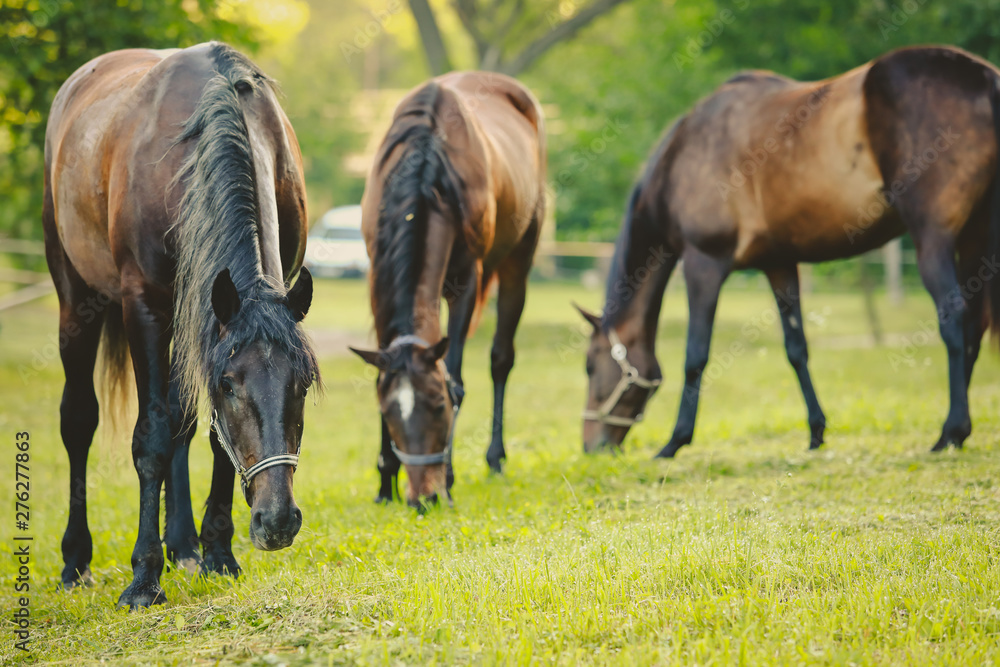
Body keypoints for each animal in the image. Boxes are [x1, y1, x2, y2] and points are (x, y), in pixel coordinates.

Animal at [43, 42, 319, 608]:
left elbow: (208, 436)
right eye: (230, 386)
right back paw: (75, 561)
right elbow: (150, 438)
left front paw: (217, 554)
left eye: (302, 385)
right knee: (79, 421)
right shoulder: (145, 307)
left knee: (182, 420)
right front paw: (144, 578)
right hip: (75, 300)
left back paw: (185, 545)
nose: (277, 521)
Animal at [350, 72, 546, 507]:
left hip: (518, 261)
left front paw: (450, 478)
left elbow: (456, 378)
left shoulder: (466, 279)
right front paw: (385, 482)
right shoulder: (376, 282)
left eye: (439, 406)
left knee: (500, 359)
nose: (424, 498)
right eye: (389, 412)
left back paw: (495, 459)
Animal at [579, 45, 1000, 458]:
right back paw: (958, 432)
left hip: (933, 239)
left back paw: (950, 431)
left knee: (953, 319)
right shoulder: (779, 264)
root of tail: (985, 79)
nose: (591, 446)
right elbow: (796, 348)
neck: (684, 157)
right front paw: (816, 432)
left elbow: (695, 356)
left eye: (590, 366)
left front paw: (675, 440)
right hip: (974, 239)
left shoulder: (703, 264)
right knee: (974, 325)